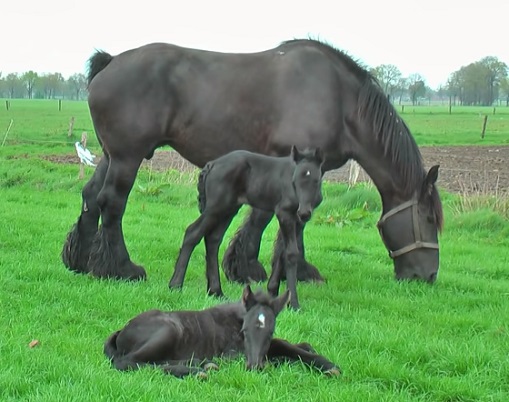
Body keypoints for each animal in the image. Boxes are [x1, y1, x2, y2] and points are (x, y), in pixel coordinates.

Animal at [62, 38, 440, 286]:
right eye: (430, 219)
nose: (429, 275)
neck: (338, 98)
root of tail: (110, 61)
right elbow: (269, 220)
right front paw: (255, 268)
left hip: (111, 156)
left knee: (90, 197)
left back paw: (81, 260)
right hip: (128, 157)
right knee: (112, 202)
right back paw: (120, 268)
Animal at [103, 286, 340, 376]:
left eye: (270, 331)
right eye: (244, 331)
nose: (254, 367)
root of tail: (121, 331)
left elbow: (285, 344)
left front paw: (324, 363)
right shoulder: (232, 355)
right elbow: (280, 351)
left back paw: (202, 364)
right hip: (168, 330)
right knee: (127, 362)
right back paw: (198, 370)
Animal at [169, 146, 324, 310]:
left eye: (316, 180)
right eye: (294, 181)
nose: (304, 212)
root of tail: (212, 164)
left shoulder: (297, 220)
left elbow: (283, 252)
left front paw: (273, 292)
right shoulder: (285, 213)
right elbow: (291, 253)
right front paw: (293, 303)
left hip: (229, 209)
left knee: (213, 239)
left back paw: (216, 292)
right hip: (216, 207)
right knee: (193, 233)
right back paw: (176, 285)